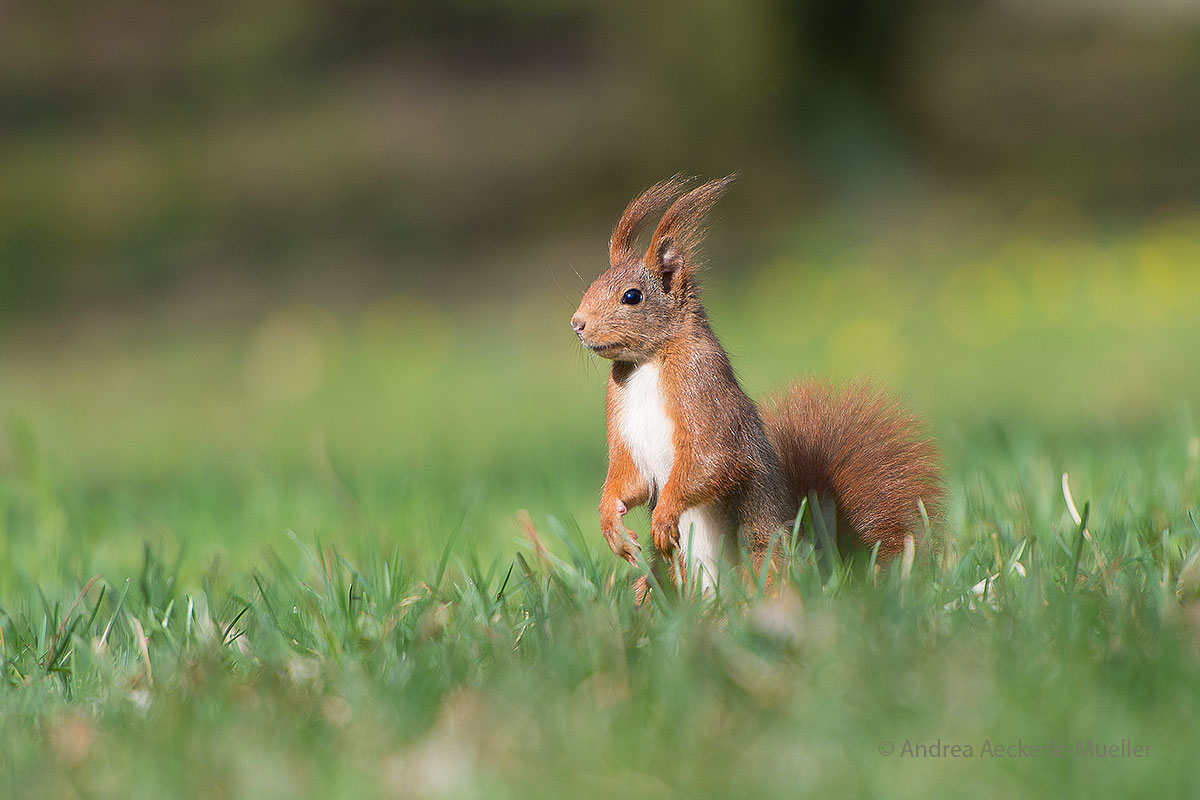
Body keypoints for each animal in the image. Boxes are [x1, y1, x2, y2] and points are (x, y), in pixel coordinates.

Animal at [566, 176, 940, 587]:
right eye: (594, 283)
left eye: (632, 296)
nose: (577, 323)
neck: (646, 363)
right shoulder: (625, 426)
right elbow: (627, 478)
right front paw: (612, 527)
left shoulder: (703, 388)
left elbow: (711, 459)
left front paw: (663, 517)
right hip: (659, 579)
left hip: (762, 554)